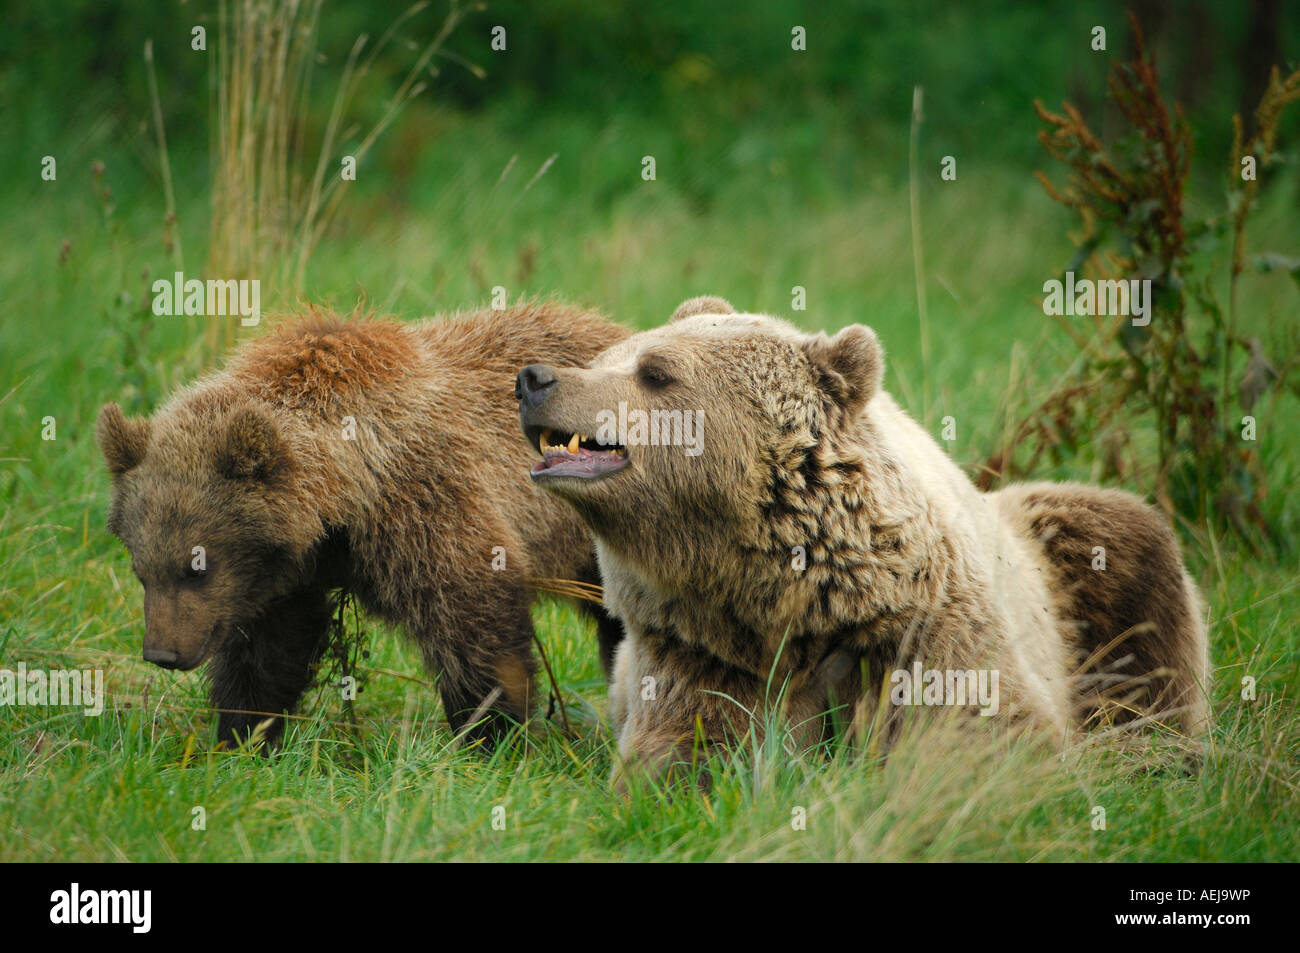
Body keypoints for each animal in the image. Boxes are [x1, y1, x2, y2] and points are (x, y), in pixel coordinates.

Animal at [98, 301, 626, 748]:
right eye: (141, 570)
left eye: (197, 568)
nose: (163, 654)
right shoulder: (290, 572)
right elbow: (270, 651)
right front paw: (243, 734)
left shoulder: (424, 504)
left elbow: (474, 622)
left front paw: (491, 733)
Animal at [514, 295, 1206, 780]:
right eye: (605, 357)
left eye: (655, 371)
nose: (535, 379)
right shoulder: (693, 647)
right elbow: (681, 748)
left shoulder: (923, 630)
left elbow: (986, 730)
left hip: (1067, 551)